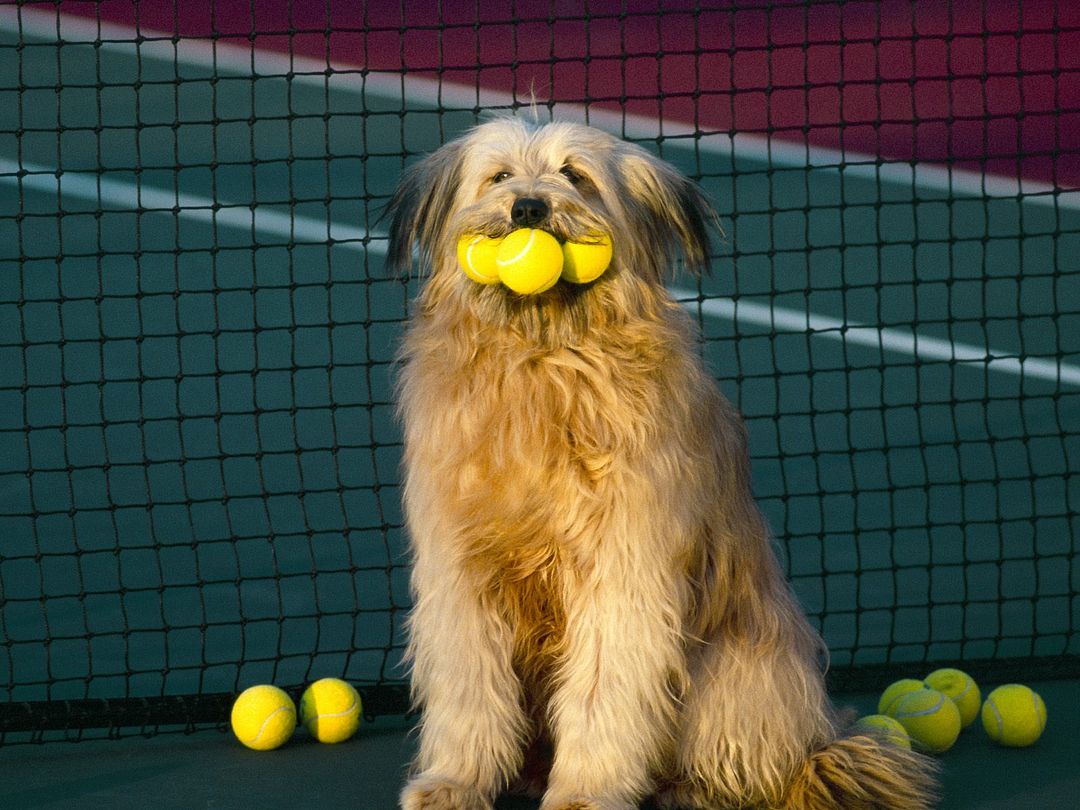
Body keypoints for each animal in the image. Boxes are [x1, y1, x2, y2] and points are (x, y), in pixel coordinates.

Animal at [388, 115, 937, 810]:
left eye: (575, 175)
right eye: (499, 175)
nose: (529, 208)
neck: (543, 357)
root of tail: (819, 741)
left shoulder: (624, 566)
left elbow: (605, 683)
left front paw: (587, 790)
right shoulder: (460, 570)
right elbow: (468, 683)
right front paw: (456, 780)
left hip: (736, 670)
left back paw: (692, 786)